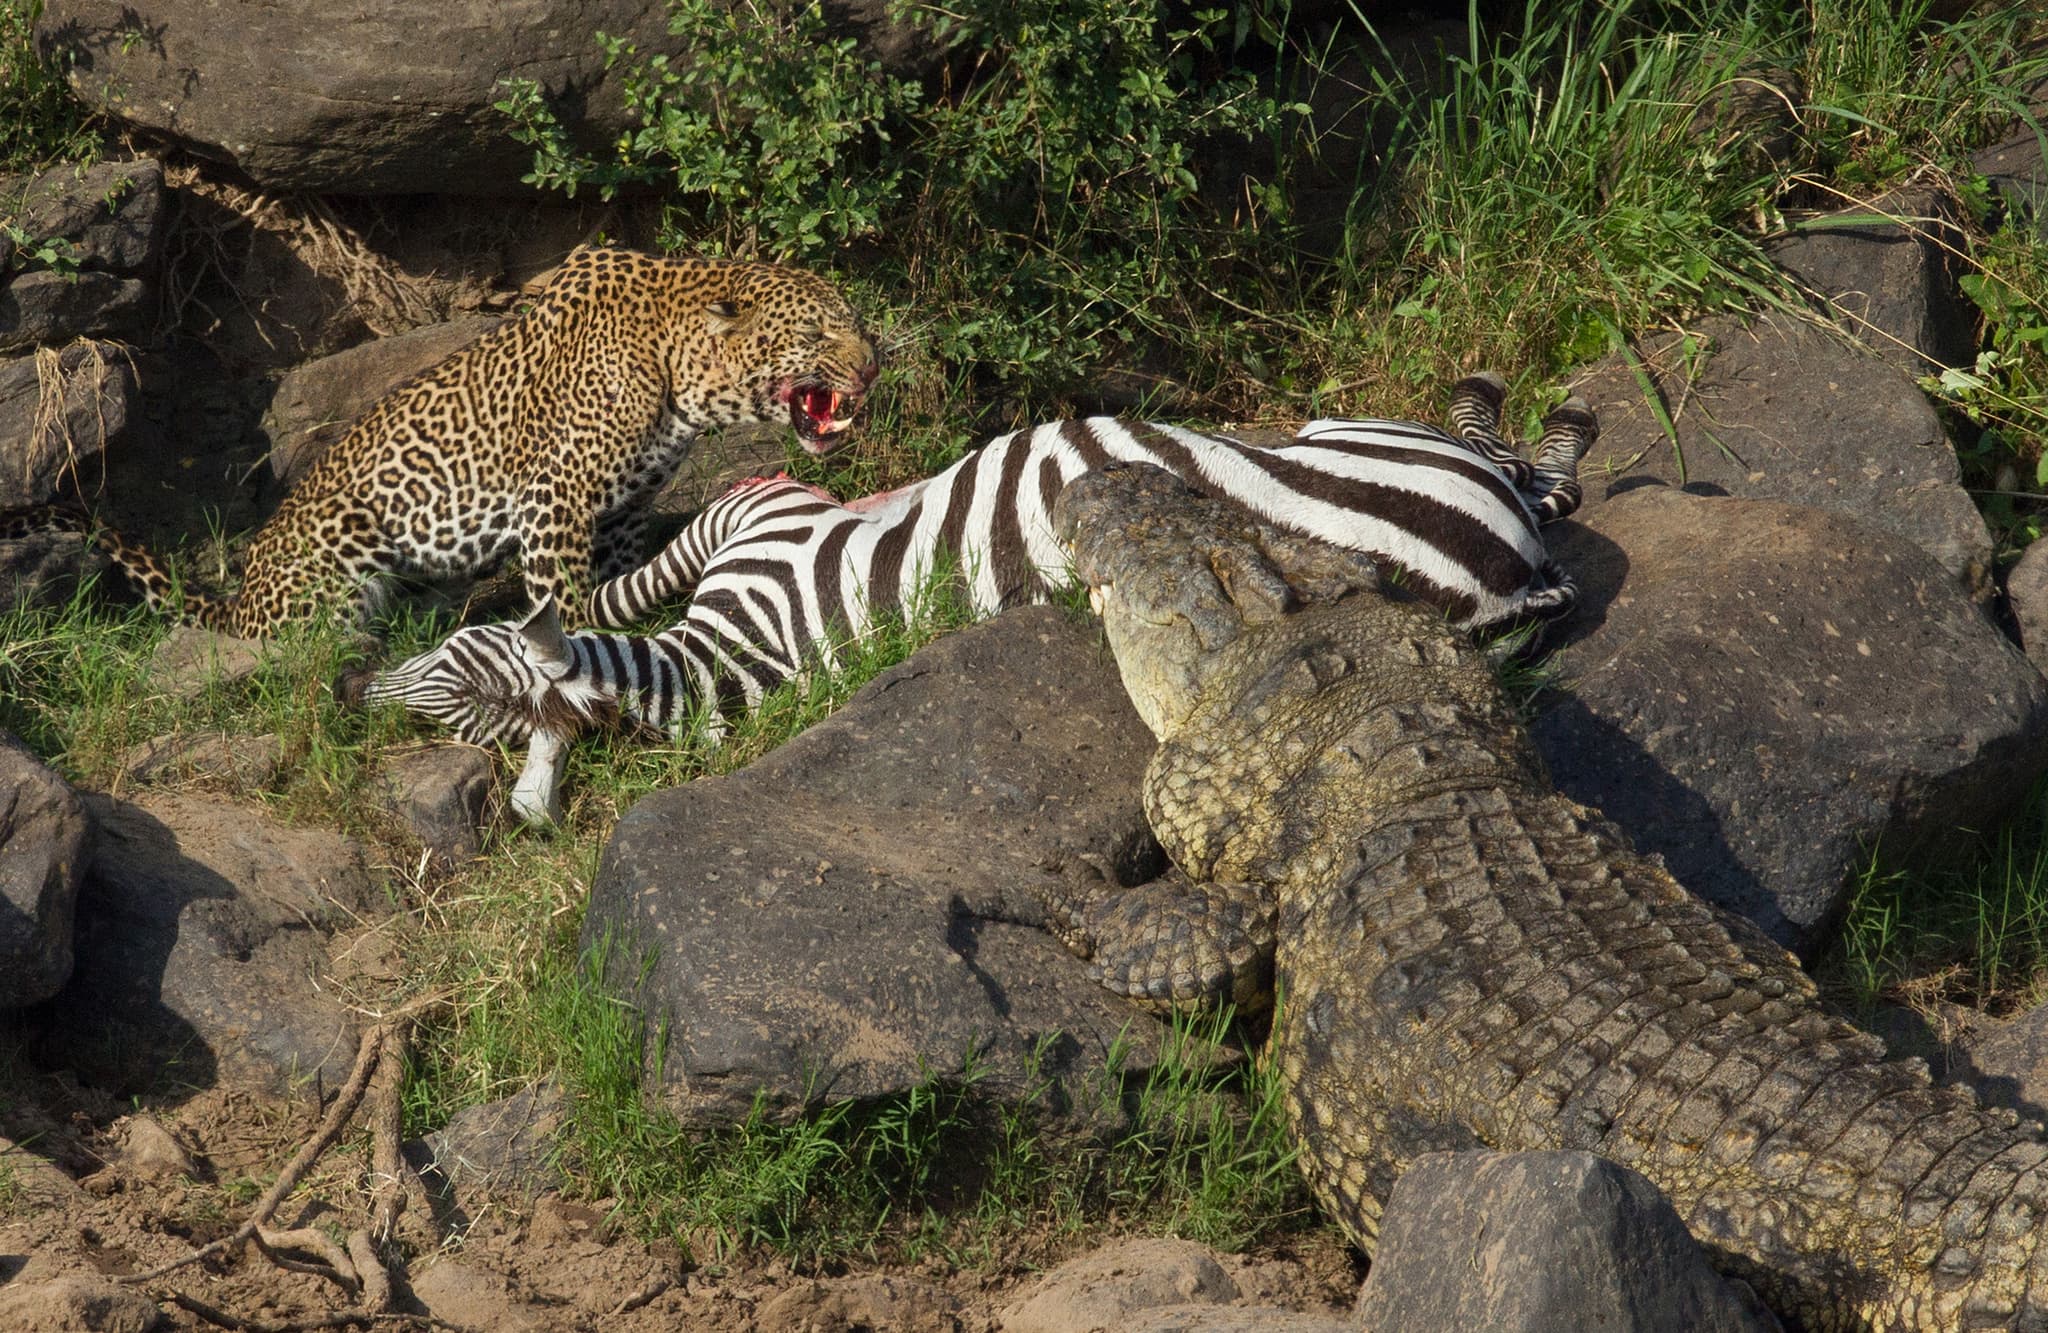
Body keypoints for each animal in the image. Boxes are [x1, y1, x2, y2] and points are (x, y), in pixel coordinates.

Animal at [1, 244, 879, 638]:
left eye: (856, 322)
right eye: (818, 331)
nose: (873, 363)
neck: (679, 370)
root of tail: (241, 602)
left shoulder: (625, 507)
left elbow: (616, 573)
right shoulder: (554, 499)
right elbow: (565, 600)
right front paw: (589, 658)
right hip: (344, 544)